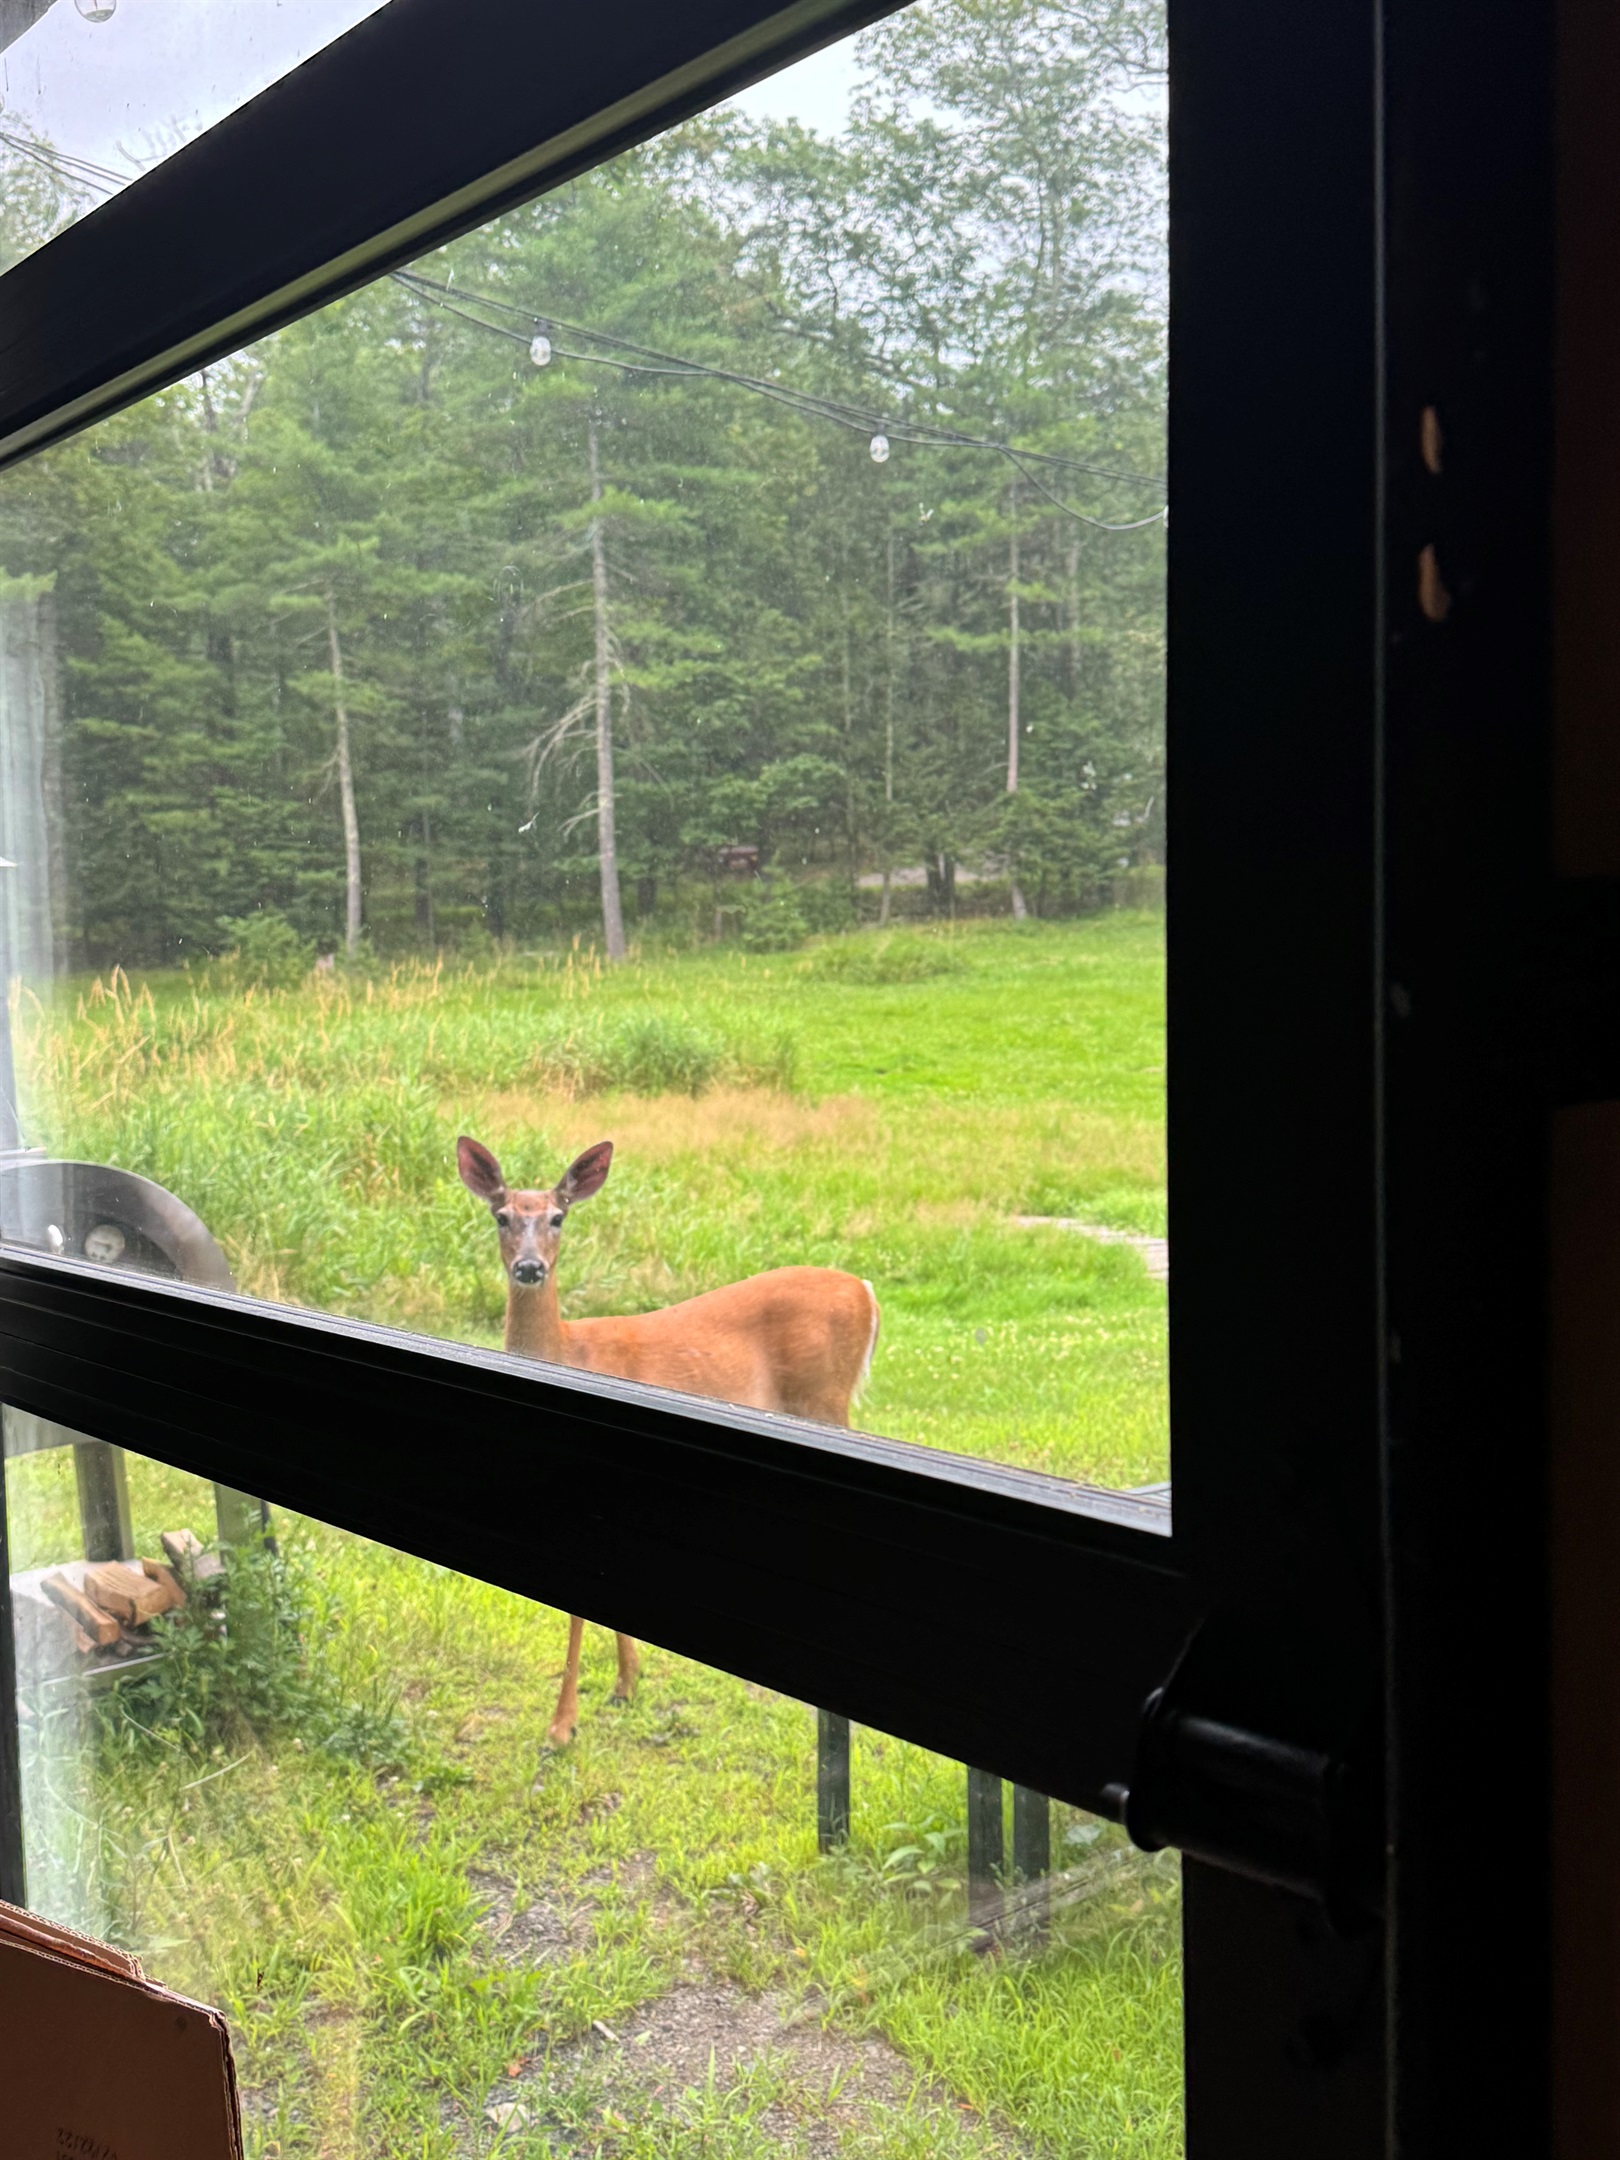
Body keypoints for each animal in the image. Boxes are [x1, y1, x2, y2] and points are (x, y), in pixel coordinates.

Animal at [457, 1134, 880, 1747]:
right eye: (501, 1216)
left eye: (559, 1217)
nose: (530, 1267)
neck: (568, 1351)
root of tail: (866, 1291)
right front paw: (626, 1683)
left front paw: (561, 1726)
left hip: (824, 1399)